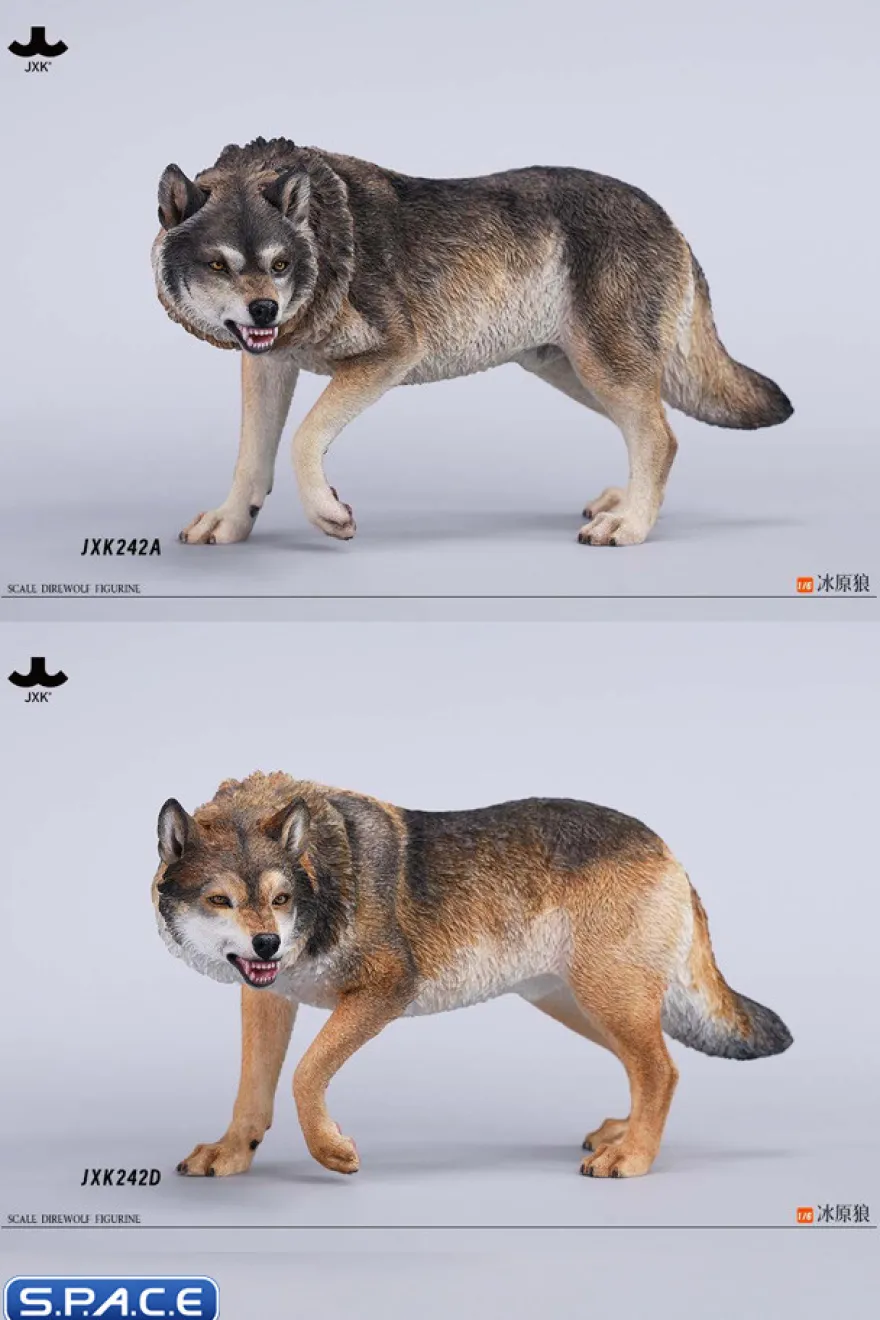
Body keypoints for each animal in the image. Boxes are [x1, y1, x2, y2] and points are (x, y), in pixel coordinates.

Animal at [152, 137, 792, 550]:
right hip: (578, 374)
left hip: (604, 369)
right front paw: (231, 524)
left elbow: (304, 439)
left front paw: (329, 513)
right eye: (219, 264)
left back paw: (630, 524)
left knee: (660, 438)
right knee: (658, 431)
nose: (264, 309)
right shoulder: (267, 363)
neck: (327, 243)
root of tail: (669, 218)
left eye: (279, 264)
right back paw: (624, 501)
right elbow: (251, 457)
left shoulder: (390, 356)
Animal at [153, 772, 792, 1179]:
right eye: (221, 900)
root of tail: (667, 848)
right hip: (582, 1007)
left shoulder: (387, 989)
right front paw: (233, 1153)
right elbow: (252, 1091)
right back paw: (624, 1135)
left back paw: (631, 1157)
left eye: (280, 898)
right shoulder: (266, 996)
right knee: (652, 1069)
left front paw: (331, 1151)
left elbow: (306, 1076)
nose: (268, 943)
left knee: (662, 1070)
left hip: (607, 999)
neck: (325, 881)